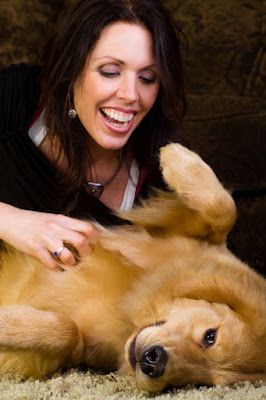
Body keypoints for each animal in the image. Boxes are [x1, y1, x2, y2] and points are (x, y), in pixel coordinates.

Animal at [0, 143, 266, 390]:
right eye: (210, 336)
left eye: (202, 383)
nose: (154, 363)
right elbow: (224, 211)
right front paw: (177, 157)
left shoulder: (66, 354)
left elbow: (69, 331)